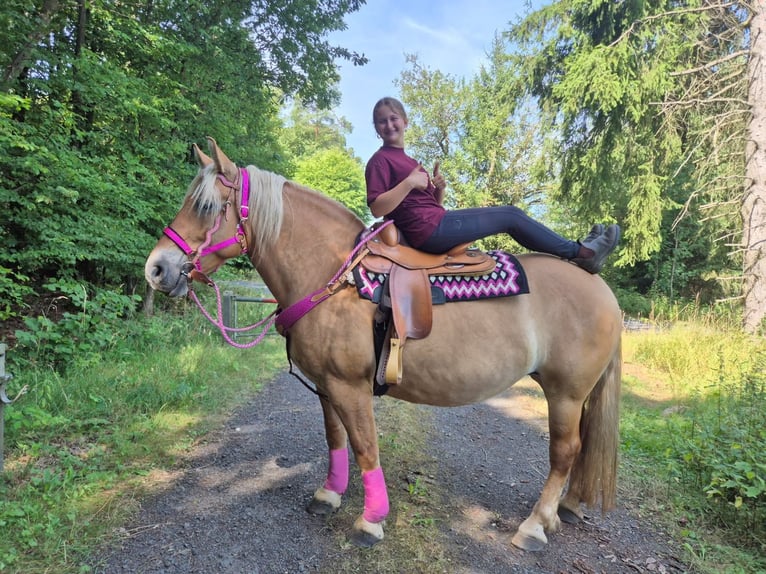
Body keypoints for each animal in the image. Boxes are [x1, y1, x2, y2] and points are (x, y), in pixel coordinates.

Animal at [144, 137, 622, 552]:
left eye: (206, 206)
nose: (156, 269)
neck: (335, 275)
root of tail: (603, 291)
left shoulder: (350, 386)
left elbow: (365, 447)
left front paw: (371, 520)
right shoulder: (326, 386)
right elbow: (336, 439)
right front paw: (329, 495)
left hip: (566, 392)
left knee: (565, 452)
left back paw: (535, 526)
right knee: (578, 451)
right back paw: (563, 510)